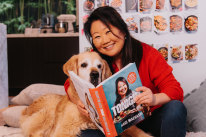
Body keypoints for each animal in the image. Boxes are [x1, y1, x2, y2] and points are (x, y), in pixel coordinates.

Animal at [19, 51, 151, 137]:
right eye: (83, 65)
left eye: (99, 66)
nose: (95, 74)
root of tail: (26, 109)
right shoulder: (64, 129)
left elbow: (138, 132)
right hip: (47, 112)